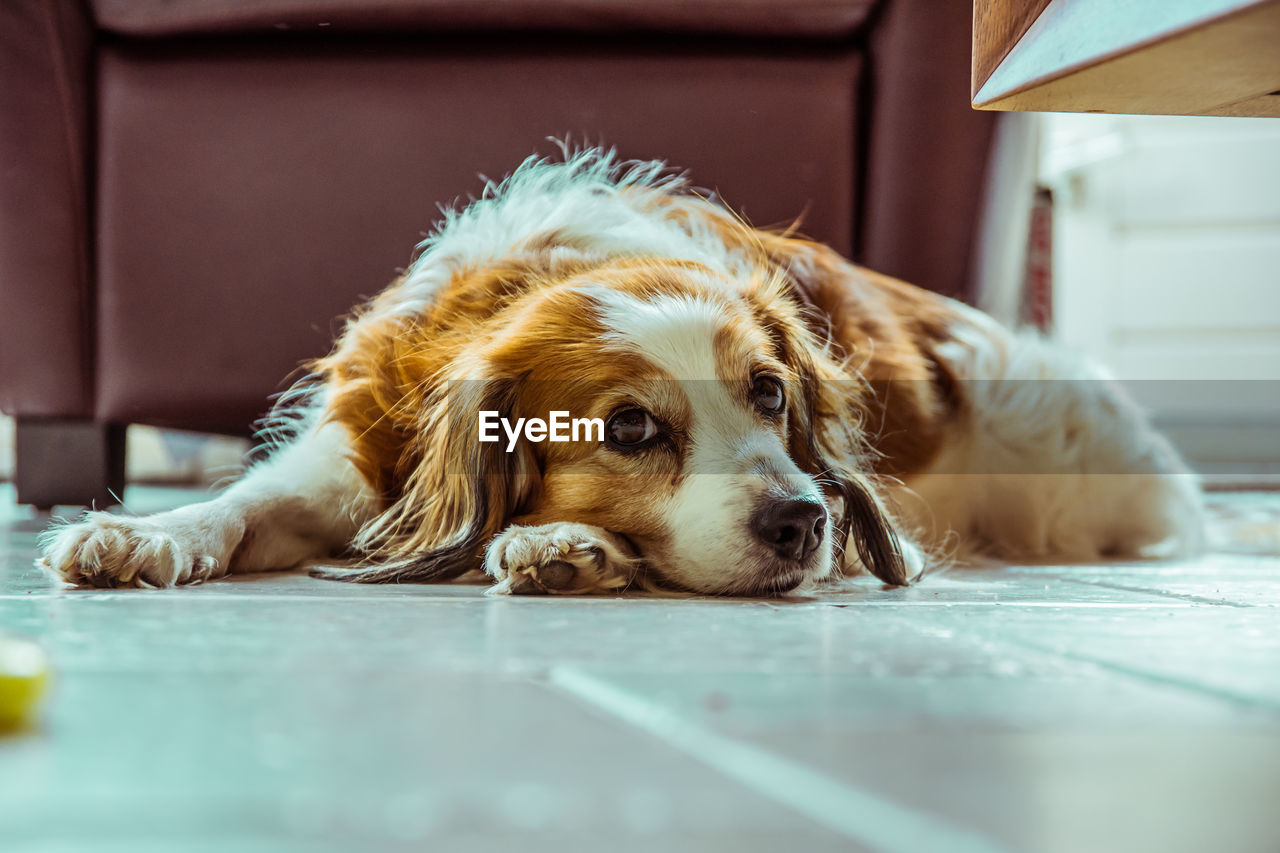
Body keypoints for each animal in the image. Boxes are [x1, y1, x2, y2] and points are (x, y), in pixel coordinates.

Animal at [37, 149, 1198, 594]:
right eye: (631, 429)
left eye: (770, 392)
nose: (801, 524)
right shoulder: (354, 458)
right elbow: (243, 504)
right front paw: (140, 532)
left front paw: (557, 543)